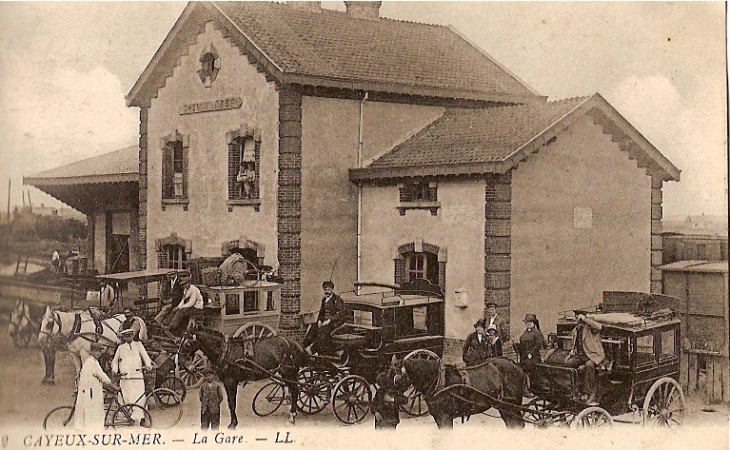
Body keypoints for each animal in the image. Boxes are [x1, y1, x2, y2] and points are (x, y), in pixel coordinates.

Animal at [182, 326, 310, 428]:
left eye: (187, 344)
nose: (184, 365)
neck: (226, 351)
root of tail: (296, 344)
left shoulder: (231, 381)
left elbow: (231, 403)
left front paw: (233, 423)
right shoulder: (226, 382)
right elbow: (230, 403)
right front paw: (233, 422)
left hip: (289, 372)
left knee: (295, 391)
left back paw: (292, 417)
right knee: (294, 390)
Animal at [382, 356, 524, 428]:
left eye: (396, 378)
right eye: (387, 374)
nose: (385, 398)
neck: (438, 382)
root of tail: (517, 367)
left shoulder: (445, 417)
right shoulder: (438, 418)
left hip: (512, 406)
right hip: (504, 407)